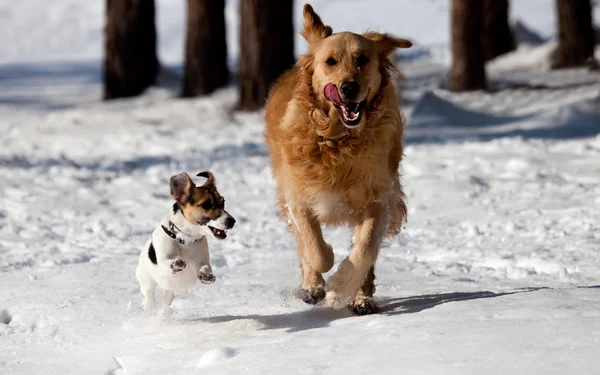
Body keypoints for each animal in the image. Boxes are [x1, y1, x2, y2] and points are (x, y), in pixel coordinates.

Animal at [136, 171, 237, 312]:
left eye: (223, 202)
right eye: (206, 204)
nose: (232, 221)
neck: (185, 239)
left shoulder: (201, 261)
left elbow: (205, 267)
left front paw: (206, 275)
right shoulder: (162, 260)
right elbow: (166, 262)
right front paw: (175, 263)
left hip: (171, 290)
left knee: (168, 297)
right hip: (146, 279)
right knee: (149, 294)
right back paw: (149, 308)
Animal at [266, 4, 412, 316]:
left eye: (362, 60)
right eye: (330, 61)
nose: (348, 87)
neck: (337, 139)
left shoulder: (379, 197)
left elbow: (364, 249)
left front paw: (341, 288)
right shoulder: (297, 195)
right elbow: (315, 249)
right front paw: (319, 278)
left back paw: (363, 299)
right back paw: (312, 286)